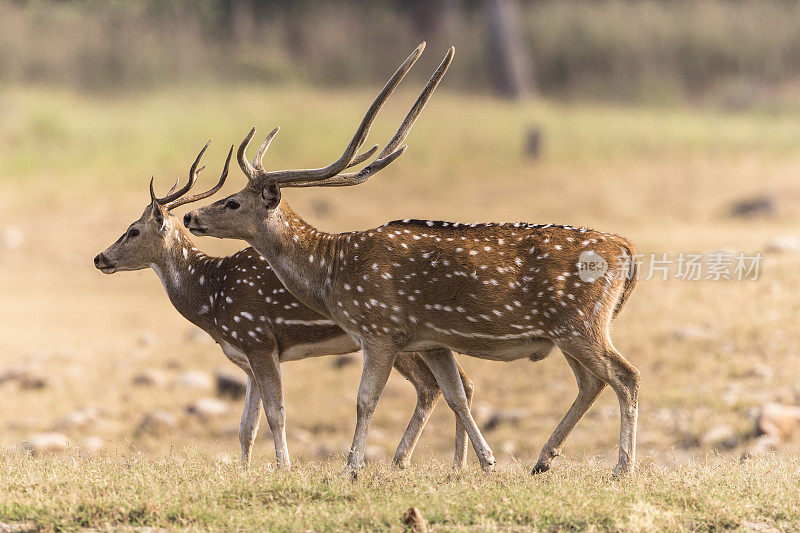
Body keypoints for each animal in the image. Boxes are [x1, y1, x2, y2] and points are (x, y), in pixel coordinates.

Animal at [94, 142, 476, 470]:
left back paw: (422, 462)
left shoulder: (258, 339)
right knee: (460, 383)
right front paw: (245, 471)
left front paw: (284, 468)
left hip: (392, 336)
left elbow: (276, 414)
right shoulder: (247, 359)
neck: (211, 300)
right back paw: (453, 466)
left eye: (132, 230)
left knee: (433, 386)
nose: (100, 258)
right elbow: (246, 426)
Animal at [184, 42, 640, 474]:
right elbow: (455, 394)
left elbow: (365, 399)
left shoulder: (379, 330)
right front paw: (485, 462)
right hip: (572, 332)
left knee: (626, 376)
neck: (331, 272)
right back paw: (543, 459)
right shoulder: (433, 339)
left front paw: (353, 466)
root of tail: (627, 250)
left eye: (233, 202)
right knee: (590, 383)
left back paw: (621, 468)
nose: (191, 216)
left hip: (580, 324)